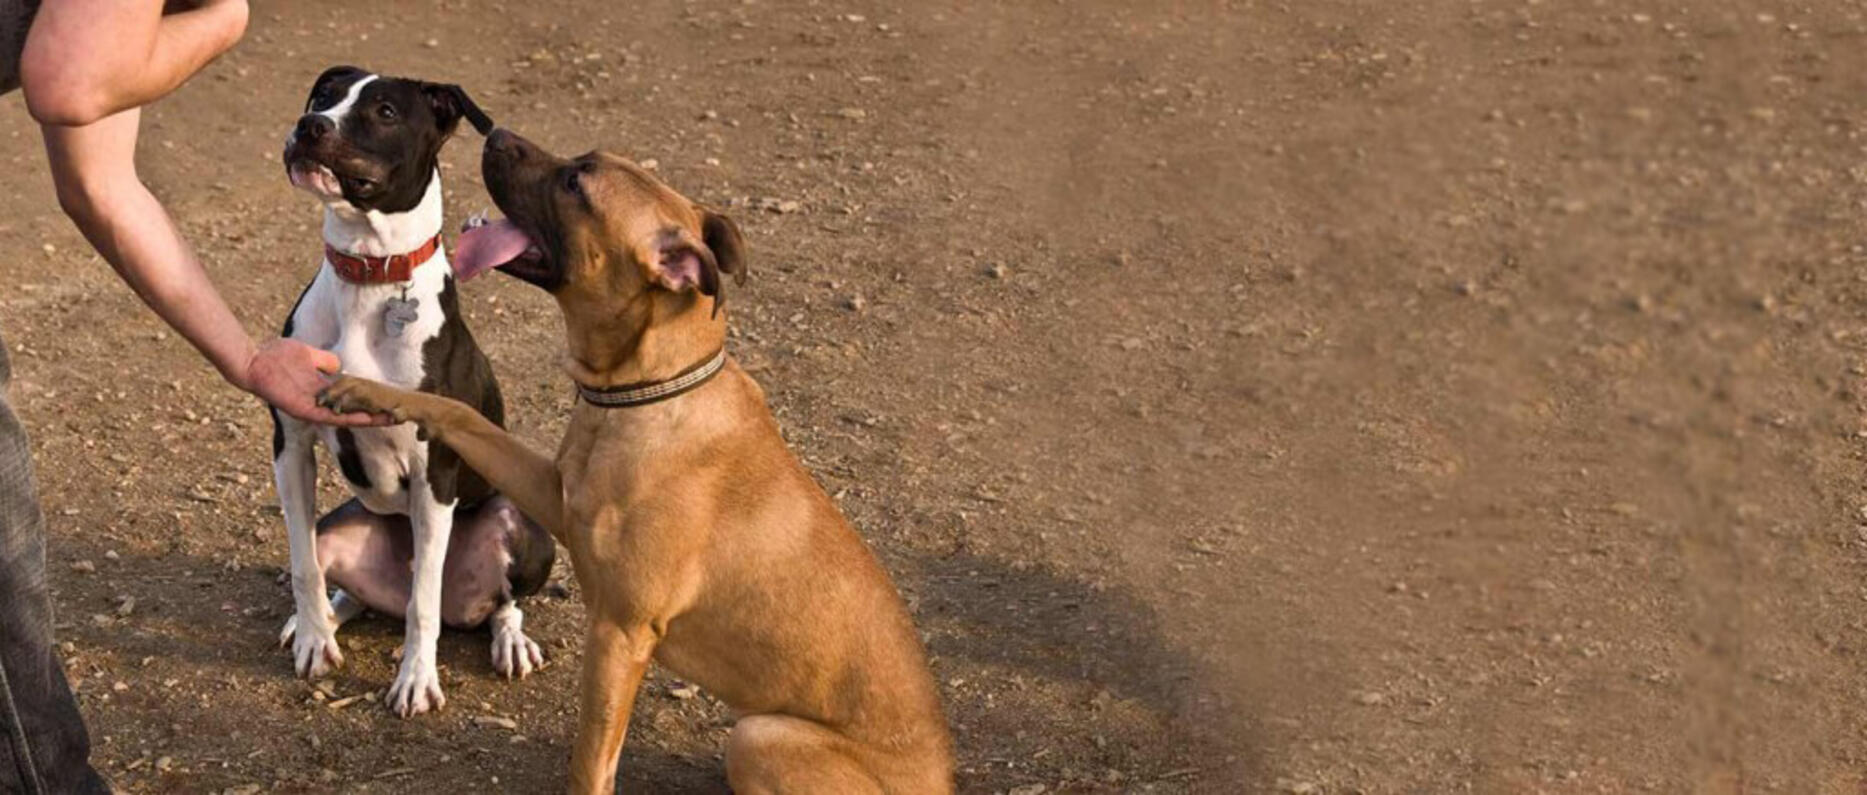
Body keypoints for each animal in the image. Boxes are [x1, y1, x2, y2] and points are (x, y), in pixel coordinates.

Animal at [272, 65, 552, 716]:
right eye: (325, 95)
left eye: (385, 112)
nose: (309, 125)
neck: (369, 275)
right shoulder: (290, 444)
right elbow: (302, 565)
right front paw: (314, 636)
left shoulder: (436, 470)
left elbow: (422, 604)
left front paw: (416, 680)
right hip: (339, 527)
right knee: (344, 584)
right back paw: (323, 618)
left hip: (523, 525)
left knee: (495, 603)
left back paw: (511, 641)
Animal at [321, 126, 955, 791]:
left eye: (576, 182)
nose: (494, 133)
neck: (647, 388)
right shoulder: (554, 493)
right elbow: (456, 412)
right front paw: (364, 390)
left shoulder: (619, 634)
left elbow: (591, 762)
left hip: (758, 735)